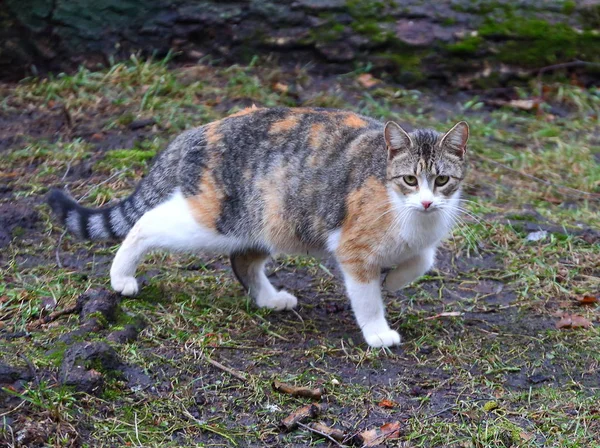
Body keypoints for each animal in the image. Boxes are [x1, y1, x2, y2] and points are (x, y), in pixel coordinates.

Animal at [48, 107, 468, 348]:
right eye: (410, 180)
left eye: (442, 180)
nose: (427, 202)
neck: (411, 216)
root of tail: (199, 130)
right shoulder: (353, 251)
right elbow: (366, 299)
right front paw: (378, 332)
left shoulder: (424, 239)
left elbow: (423, 261)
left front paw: (395, 279)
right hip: (213, 221)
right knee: (145, 224)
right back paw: (121, 277)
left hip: (272, 222)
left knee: (243, 261)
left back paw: (269, 299)